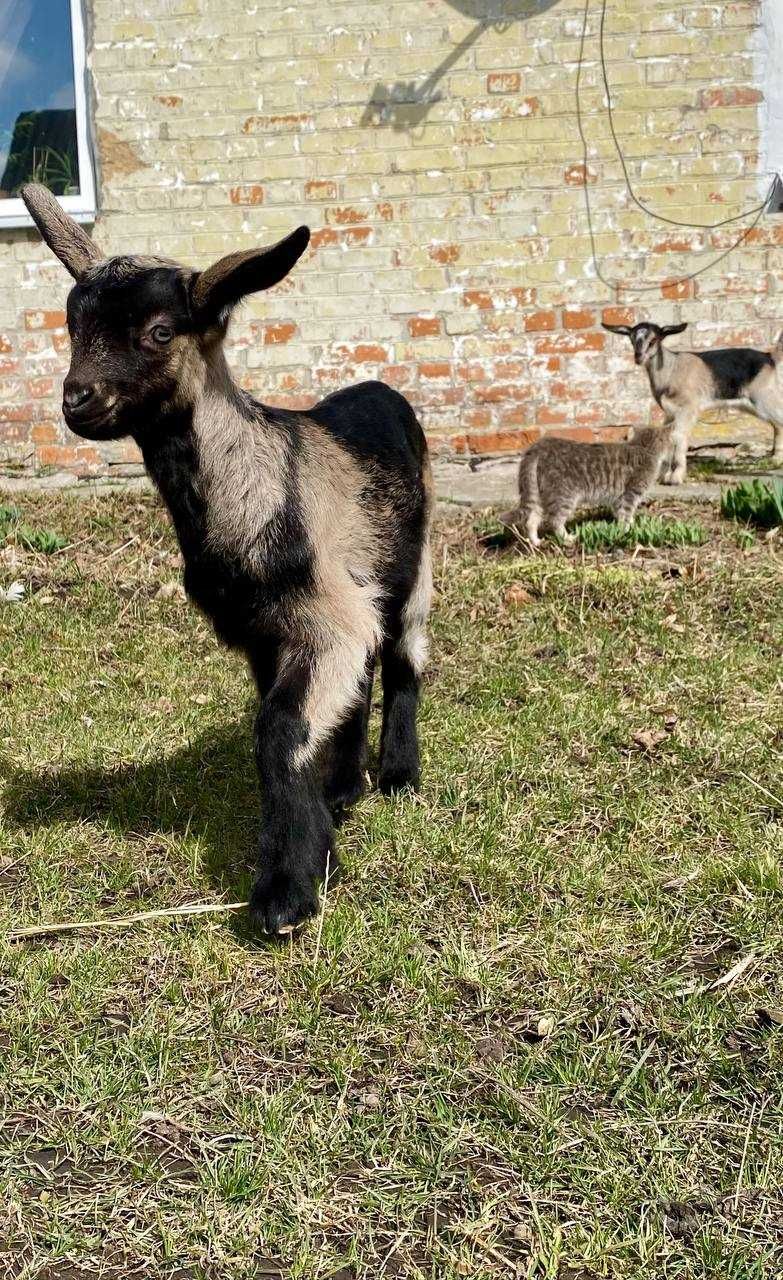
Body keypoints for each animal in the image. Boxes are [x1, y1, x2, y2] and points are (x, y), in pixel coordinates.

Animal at [19, 183, 435, 931]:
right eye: (72, 324)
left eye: (160, 331)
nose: (78, 400)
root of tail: (379, 387)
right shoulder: (268, 633)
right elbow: (289, 725)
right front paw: (317, 832)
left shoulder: (322, 617)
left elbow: (278, 729)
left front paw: (287, 893)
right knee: (363, 675)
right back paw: (345, 787)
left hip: (415, 569)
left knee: (402, 658)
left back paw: (396, 777)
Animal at [601, 320, 783, 483]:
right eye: (632, 340)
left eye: (653, 340)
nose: (638, 358)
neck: (671, 369)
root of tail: (769, 358)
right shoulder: (671, 414)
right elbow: (670, 437)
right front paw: (665, 474)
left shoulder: (688, 409)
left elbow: (678, 436)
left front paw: (675, 477)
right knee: (777, 425)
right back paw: (775, 459)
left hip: (764, 398)